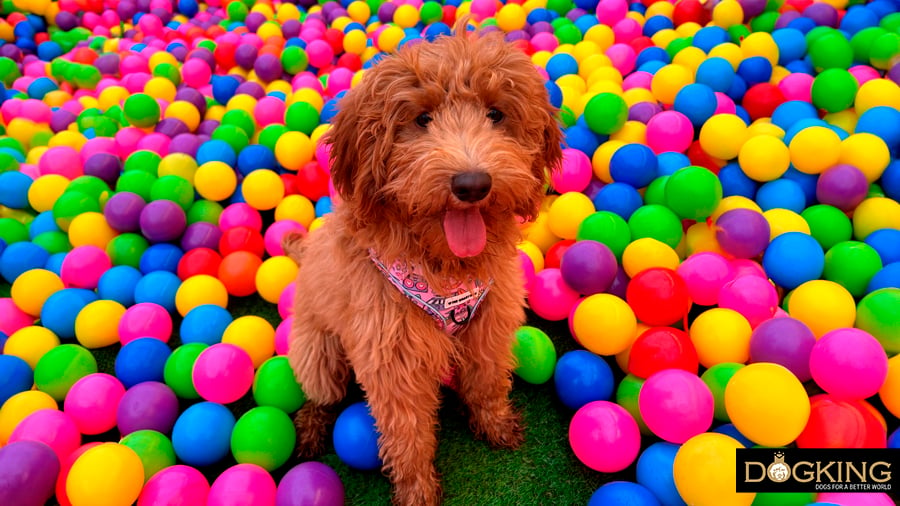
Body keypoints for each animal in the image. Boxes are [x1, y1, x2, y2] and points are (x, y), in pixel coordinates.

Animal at [284, 21, 564, 504]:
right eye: (421, 119)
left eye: (496, 114)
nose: (472, 184)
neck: (444, 272)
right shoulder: (392, 356)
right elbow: (408, 433)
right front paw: (417, 490)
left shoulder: (490, 321)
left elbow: (488, 380)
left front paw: (495, 425)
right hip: (316, 350)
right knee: (321, 393)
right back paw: (310, 428)